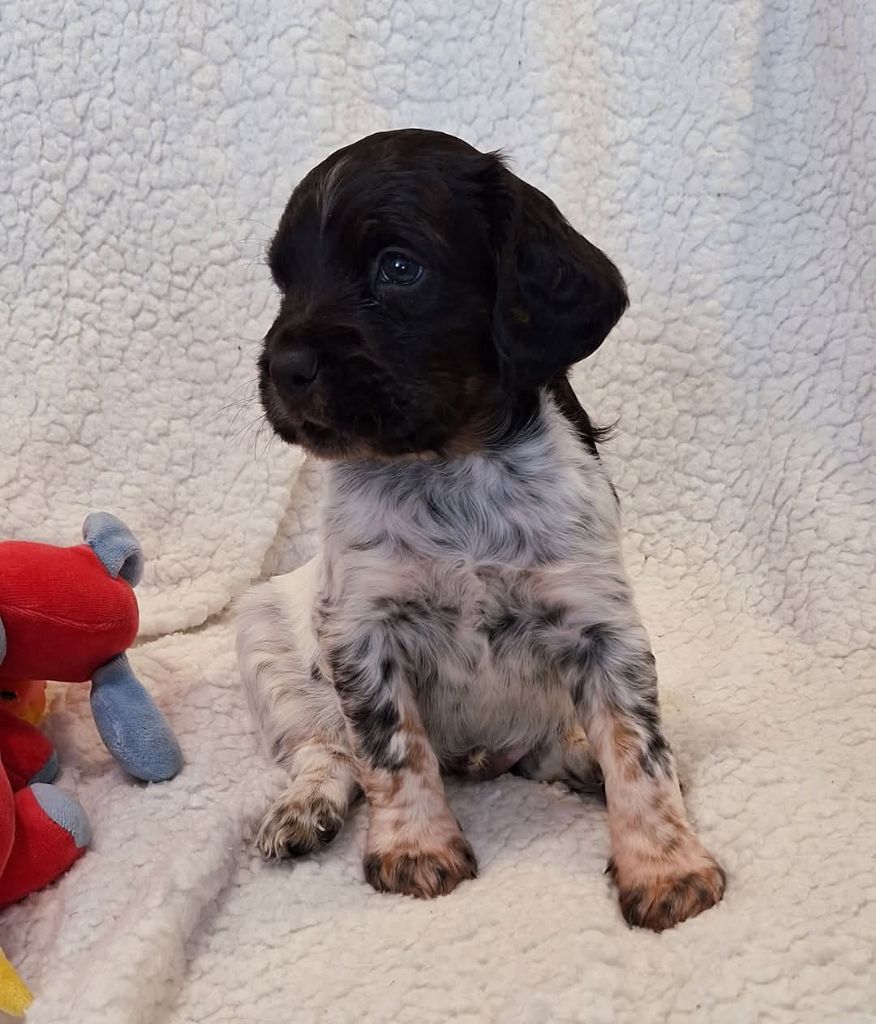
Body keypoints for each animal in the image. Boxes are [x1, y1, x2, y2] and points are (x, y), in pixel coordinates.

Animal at [239, 128, 725, 929]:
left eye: (398, 267)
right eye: (286, 283)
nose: (282, 368)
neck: (450, 466)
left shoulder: (601, 621)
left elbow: (638, 749)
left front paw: (666, 865)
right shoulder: (360, 627)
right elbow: (389, 750)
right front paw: (415, 848)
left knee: (549, 745)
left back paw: (576, 756)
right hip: (264, 640)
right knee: (325, 748)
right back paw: (305, 806)